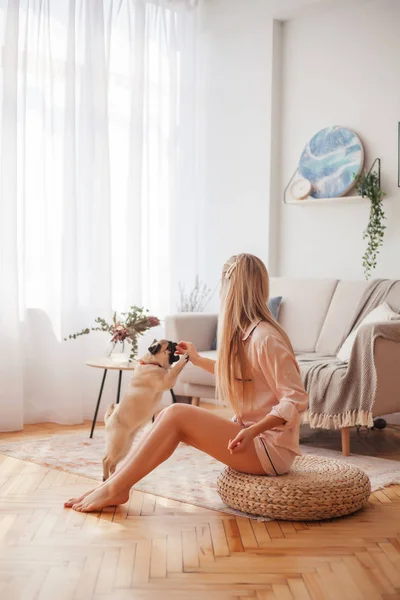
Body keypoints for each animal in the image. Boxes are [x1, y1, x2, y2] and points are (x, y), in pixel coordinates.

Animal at [101, 340, 189, 480]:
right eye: (169, 346)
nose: (175, 342)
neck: (153, 363)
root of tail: (109, 420)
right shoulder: (167, 381)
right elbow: (175, 369)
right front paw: (184, 358)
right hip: (117, 445)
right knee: (106, 460)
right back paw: (105, 478)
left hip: (125, 448)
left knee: (113, 464)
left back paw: (112, 476)